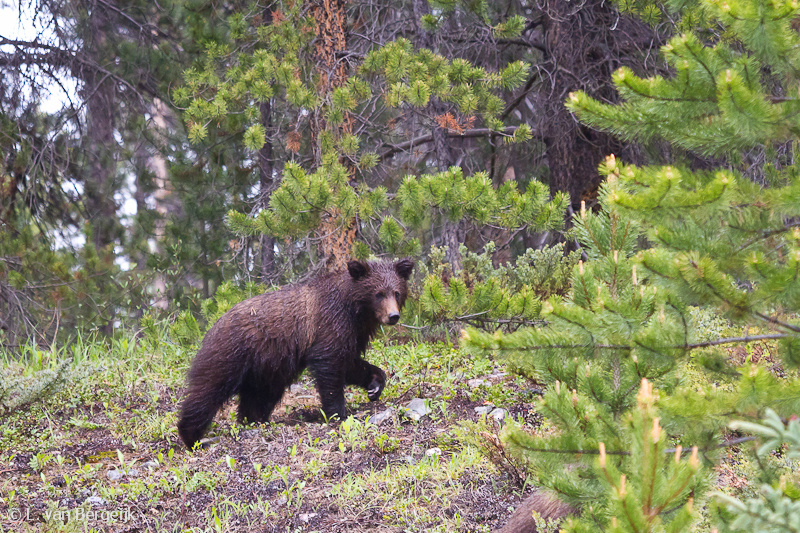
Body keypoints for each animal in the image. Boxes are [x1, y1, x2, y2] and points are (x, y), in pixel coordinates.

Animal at [178, 256, 416, 444]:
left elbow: (349, 363)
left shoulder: (352, 333)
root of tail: (211, 328)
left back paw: (254, 420)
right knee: (207, 391)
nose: (393, 316)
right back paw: (191, 435)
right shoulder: (329, 324)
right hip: (231, 354)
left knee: (260, 396)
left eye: (396, 292)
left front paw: (375, 384)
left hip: (266, 367)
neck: (355, 310)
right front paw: (337, 413)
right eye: (378, 294)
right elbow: (330, 367)